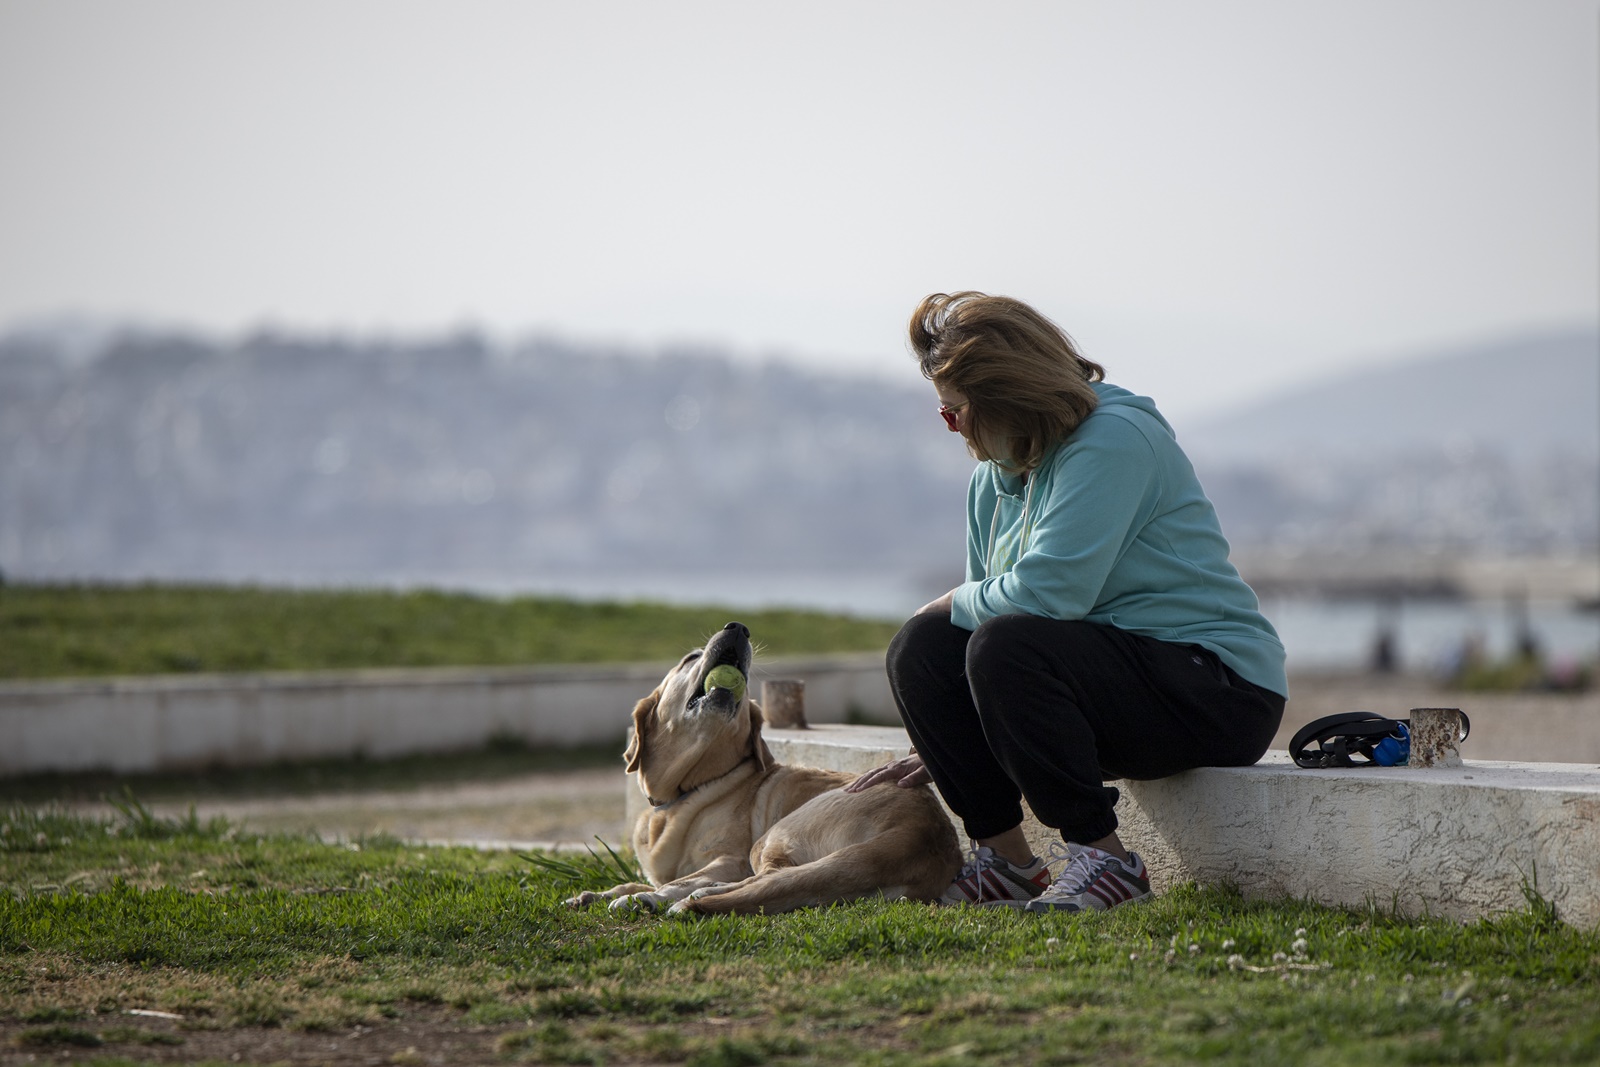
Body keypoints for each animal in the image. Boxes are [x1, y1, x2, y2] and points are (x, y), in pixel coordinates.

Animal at [566, 620, 953, 915]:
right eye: (690, 659)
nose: (737, 627)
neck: (684, 792)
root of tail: (917, 833)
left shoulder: (730, 859)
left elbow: (678, 881)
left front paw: (643, 896)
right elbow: (633, 880)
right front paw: (598, 894)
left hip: (773, 836)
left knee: (766, 878)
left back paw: (691, 897)